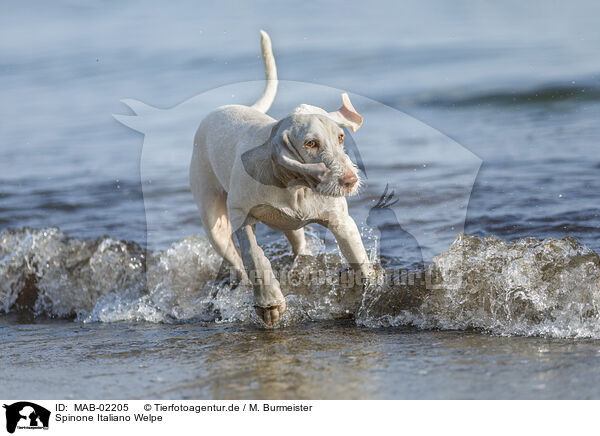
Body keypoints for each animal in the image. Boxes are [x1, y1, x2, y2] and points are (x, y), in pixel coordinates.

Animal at [190, 30, 372, 326]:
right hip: (212, 220)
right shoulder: (240, 214)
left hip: (291, 227)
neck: (295, 184)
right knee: (236, 261)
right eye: (310, 143)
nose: (350, 181)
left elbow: (358, 258)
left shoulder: (341, 221)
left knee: (298, 245)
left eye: (341, 137)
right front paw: (269, 302)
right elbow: (253, 254)